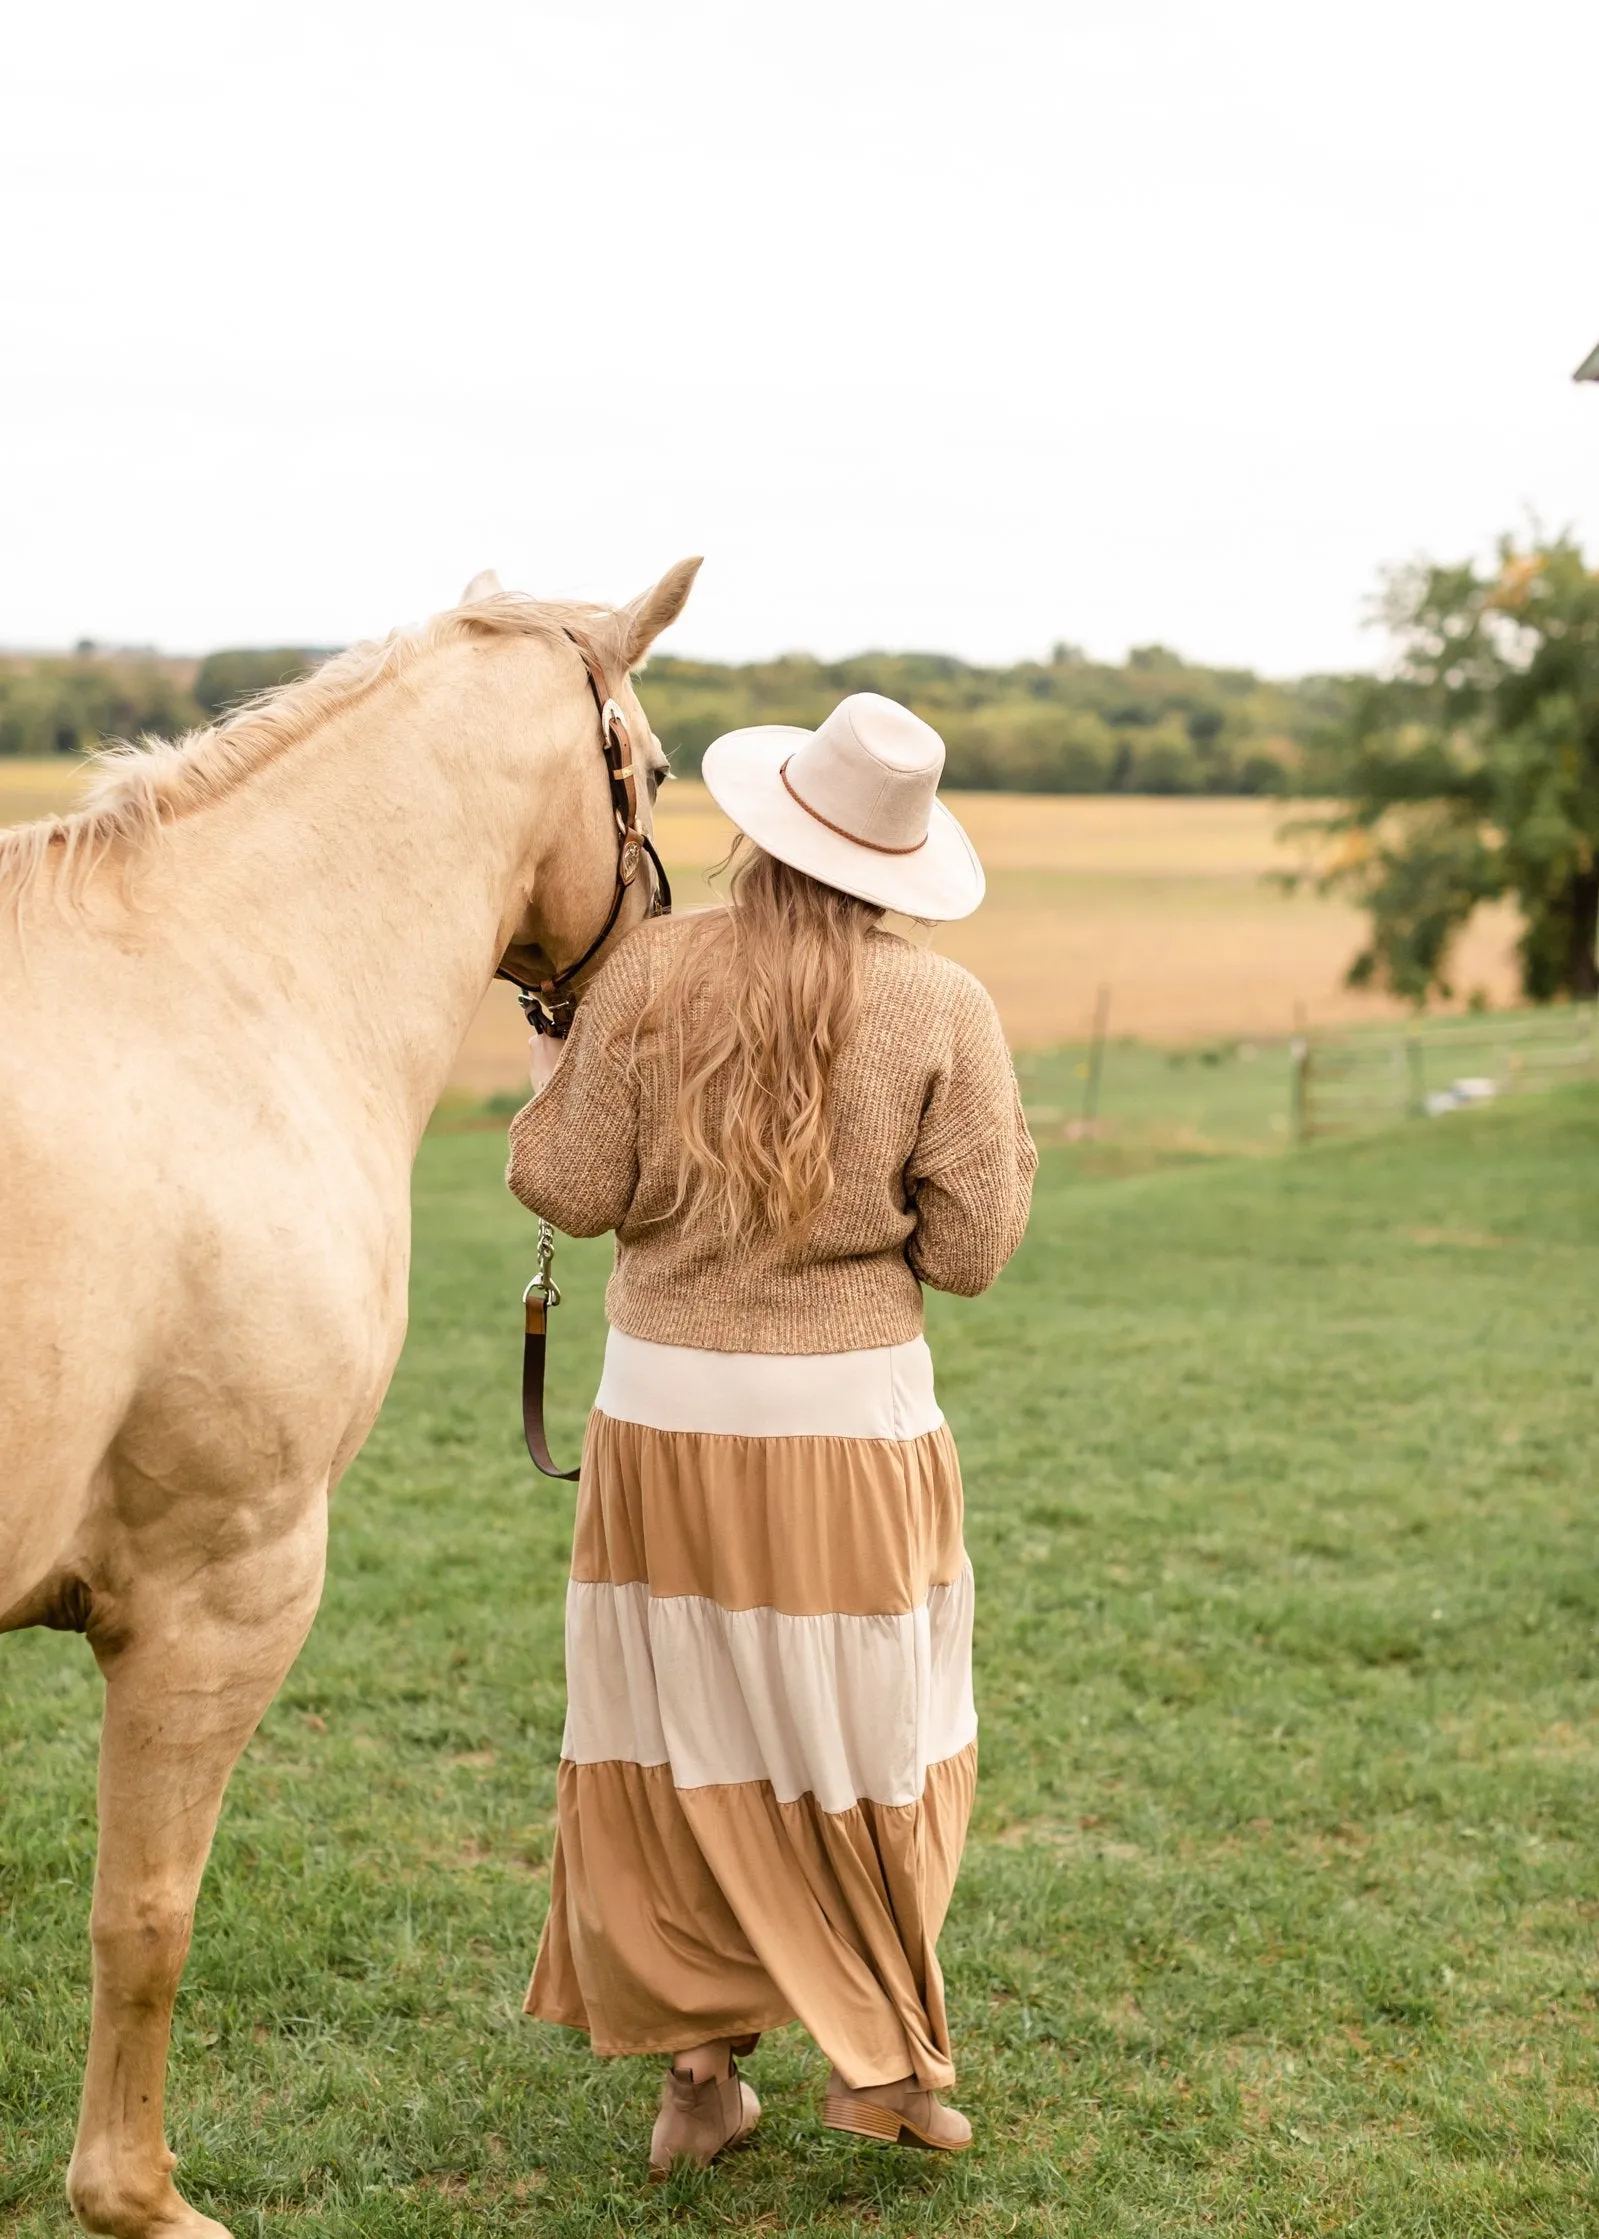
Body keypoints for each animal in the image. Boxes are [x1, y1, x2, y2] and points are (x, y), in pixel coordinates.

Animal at [0, 559, 698, 2239]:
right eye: (648, 767)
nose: (651, 979)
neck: (226, 991)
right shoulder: (219, 1591)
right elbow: (145, 1915)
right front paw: (135, 2193)